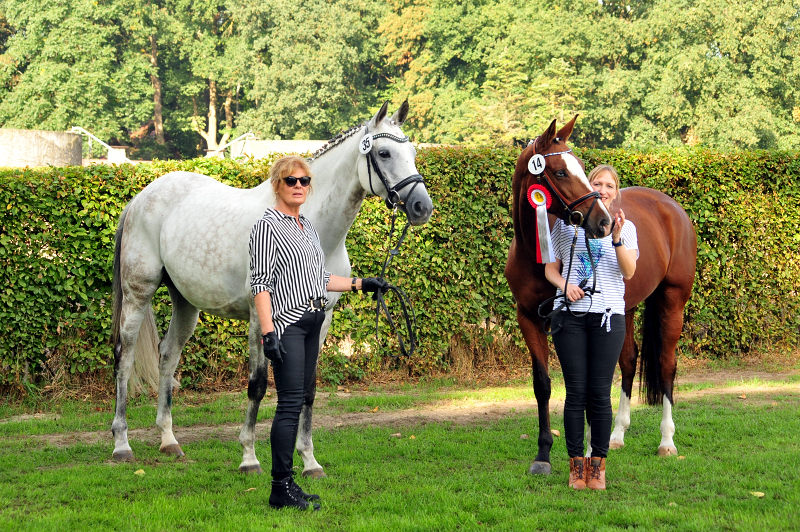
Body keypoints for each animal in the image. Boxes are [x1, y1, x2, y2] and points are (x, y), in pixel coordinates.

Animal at [111, 102, 432, 476]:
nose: (422, 207)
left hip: (186, 302)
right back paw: (122, 444)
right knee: (125, 357)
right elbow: (258, 385)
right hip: (138, 294)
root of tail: (140, 199)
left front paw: (309, 461)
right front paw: (249, 457)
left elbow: (307, 390)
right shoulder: (258, 320)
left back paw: (169, 440)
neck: (309, 229)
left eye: (413, 153)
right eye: (383, 153)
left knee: (167, 355)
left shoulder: (321, 320)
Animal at [510, 116, 696, 474]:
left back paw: (667, 441)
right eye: (560, 172)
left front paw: (584, 452)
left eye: (583, 168)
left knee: (666, 365)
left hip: (672, 301)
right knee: (629, 361)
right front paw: (543, 454)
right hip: (626, 307)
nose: (604, 222)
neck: (535, 251)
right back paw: (617, 434)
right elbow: (543, 385)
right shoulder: (529, 318)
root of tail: (671, 207)